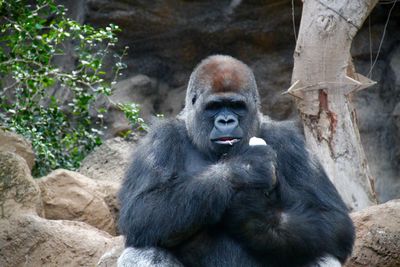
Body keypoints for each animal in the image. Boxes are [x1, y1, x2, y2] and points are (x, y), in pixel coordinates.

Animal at [117, 55, 354, 267]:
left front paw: (252, 217)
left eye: (236, 106)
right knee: (145, 249)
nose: (226, 121)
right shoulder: (159, 140)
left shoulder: (291, 143)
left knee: (321, 253)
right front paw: (245, 169)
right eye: (214, 107)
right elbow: (142, 209)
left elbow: (333, 219)